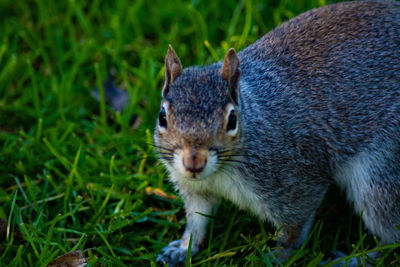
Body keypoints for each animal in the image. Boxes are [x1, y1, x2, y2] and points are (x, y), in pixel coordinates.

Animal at [153, 1, 400, 266]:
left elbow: (293, 230)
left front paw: (275, 256)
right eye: (162, 116)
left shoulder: (296, 179)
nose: (193, 163)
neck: (222, 171)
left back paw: (356, 259)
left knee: (391, 234)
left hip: (380, 175)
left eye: (232, 120)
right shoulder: (196, 190)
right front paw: (182, 249)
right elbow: (197, 222)